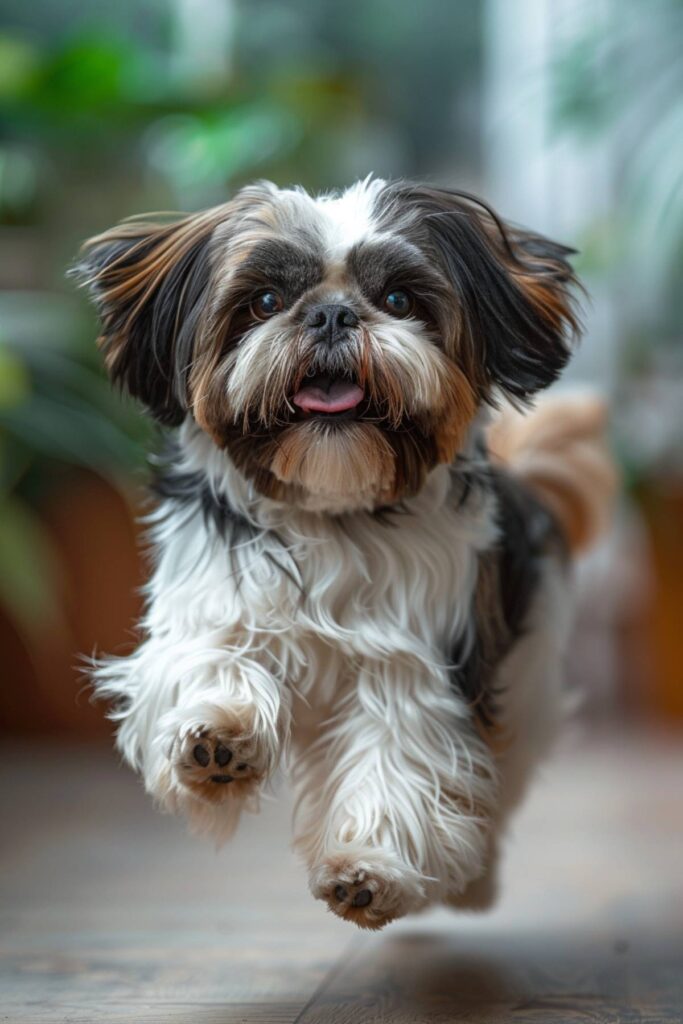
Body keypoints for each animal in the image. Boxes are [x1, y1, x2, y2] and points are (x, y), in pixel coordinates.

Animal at [74, 176, 614, 929]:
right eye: (265, 301)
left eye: (399, 300)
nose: (331, 315)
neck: (330, 510)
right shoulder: (208, 596)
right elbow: (210, 654)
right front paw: (217, 738)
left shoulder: (413, 663)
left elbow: (400, 757)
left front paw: (369, 869)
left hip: (526, 677)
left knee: (497, 780)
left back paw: (470, 883)